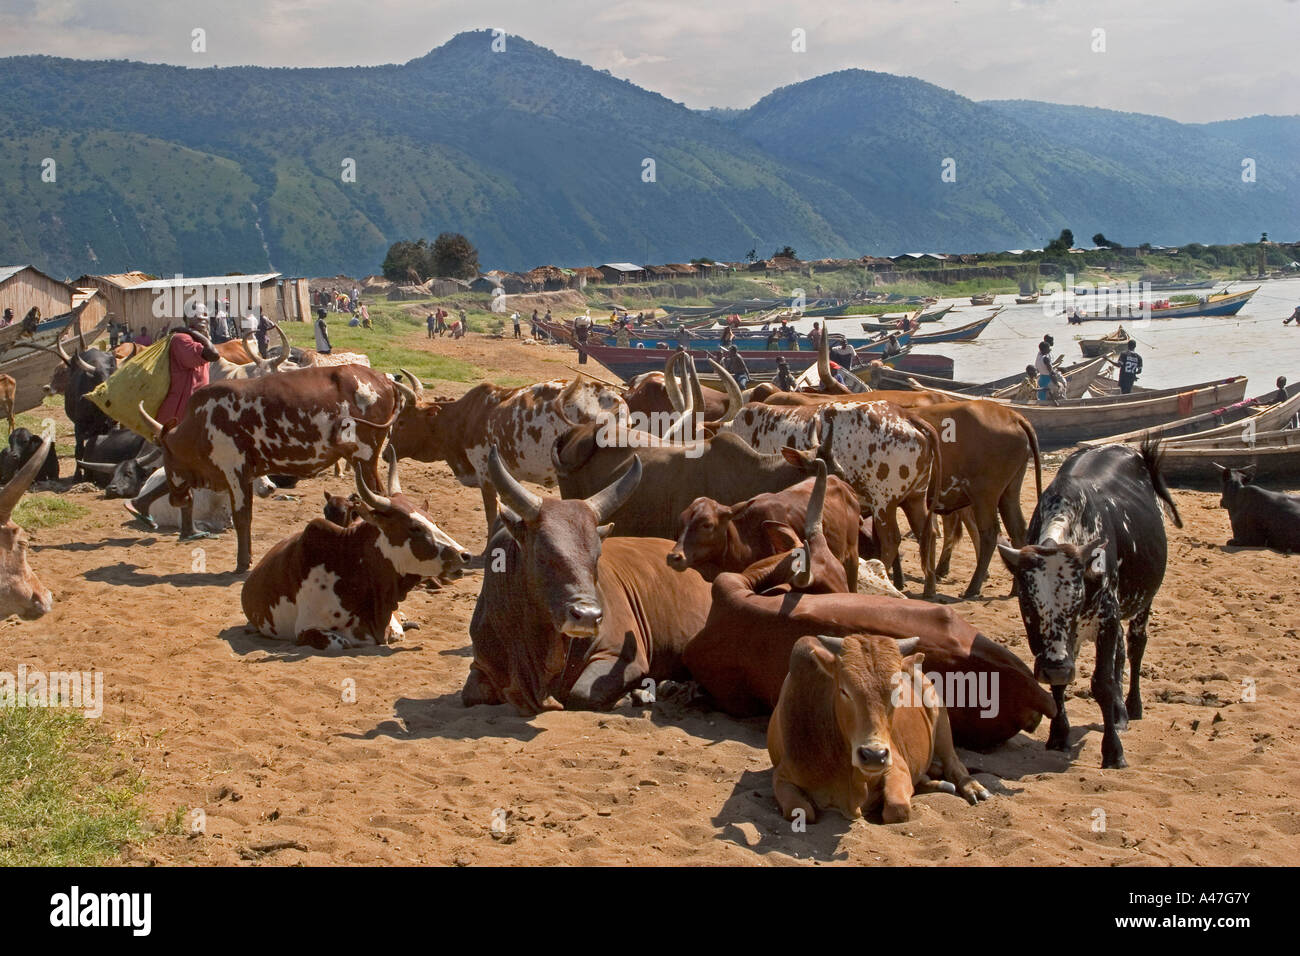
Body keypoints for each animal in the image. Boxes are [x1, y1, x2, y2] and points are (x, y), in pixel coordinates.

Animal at [764, 632, 987, 827]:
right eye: (844, 690)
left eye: (898, 691)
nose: (873, 755)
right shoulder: (781, 776)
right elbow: (801, 811)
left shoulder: (896, 765)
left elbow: (897, 809)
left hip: (940, 717)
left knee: (953, 762)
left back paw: (972, 787)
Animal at [998, 442, 1185, 770]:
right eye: (1028, 604)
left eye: (1076, 601)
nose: (1055, 668)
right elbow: (1060, 686)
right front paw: (1059, 735)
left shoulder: (1106, 618)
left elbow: (1103, 683)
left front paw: (1113, 750)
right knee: (1121, 650)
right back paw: (1120, 712)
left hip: (1142, 602)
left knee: (1135, 645)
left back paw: (1132, 706)